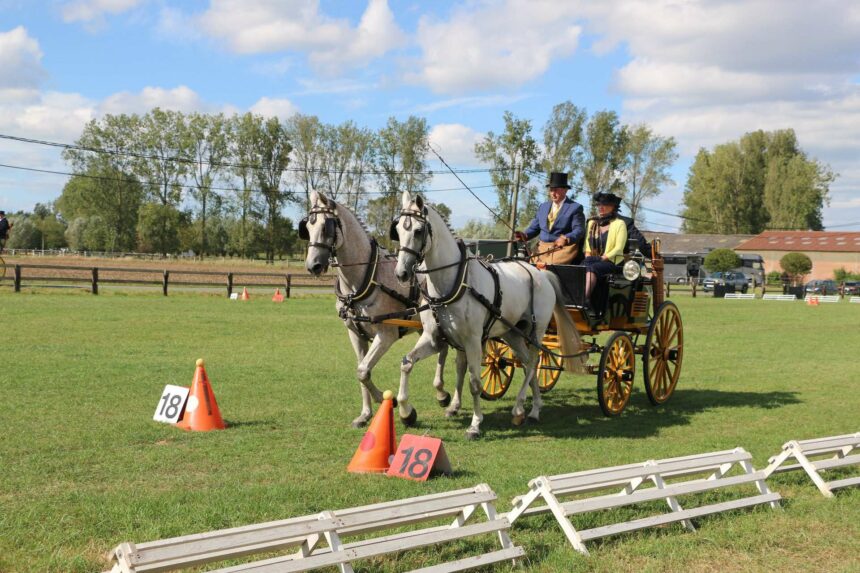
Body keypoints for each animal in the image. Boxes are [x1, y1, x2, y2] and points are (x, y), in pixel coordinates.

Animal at [302, 190, 454, 426]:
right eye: (307, 228)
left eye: (326, 226)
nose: (313, 266)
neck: (364, 279)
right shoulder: (355, 334)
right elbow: (361, 370)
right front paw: (365, 414)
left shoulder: (386, 335)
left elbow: (363, 371)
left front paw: (391, 402)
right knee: (442, 348)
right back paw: (442, 394)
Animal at [394, 191, 584, 438]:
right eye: (398, 230)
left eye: (418, 230)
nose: (401, 273)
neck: (454, 280)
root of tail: (541, 273)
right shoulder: (434, 338)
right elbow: (407, 362)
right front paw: (406, 412)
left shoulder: (473, 340)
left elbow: (475, 382)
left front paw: (475, 424)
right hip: (512, 333)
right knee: (526, 364)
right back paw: (533, 407)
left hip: (536, 331)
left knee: (534, 363)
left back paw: (523, 408)